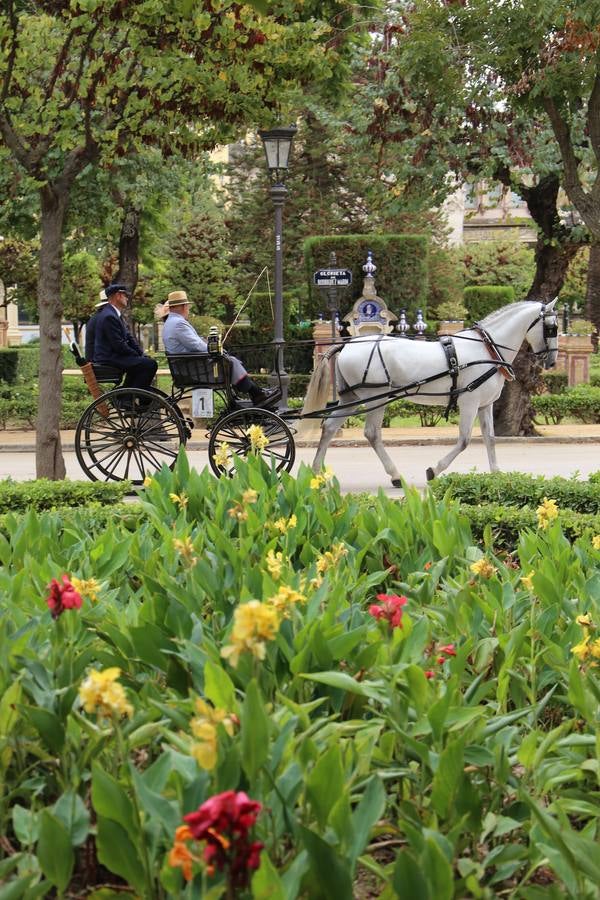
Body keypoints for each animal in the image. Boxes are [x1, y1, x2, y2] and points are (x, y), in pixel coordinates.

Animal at [300, 300, 556, 486]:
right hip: (376, 397)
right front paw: (434, 470)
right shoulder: (469, 402)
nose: (552, 361)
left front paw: (496, 474)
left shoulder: (484, 405)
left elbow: (490, 439)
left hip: (351, 398)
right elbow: (464, 440)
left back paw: (316, 473)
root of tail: (347, 344)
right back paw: (395, 475)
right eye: (551, 328)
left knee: (329, 428)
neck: (487, 348)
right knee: (372, 433)